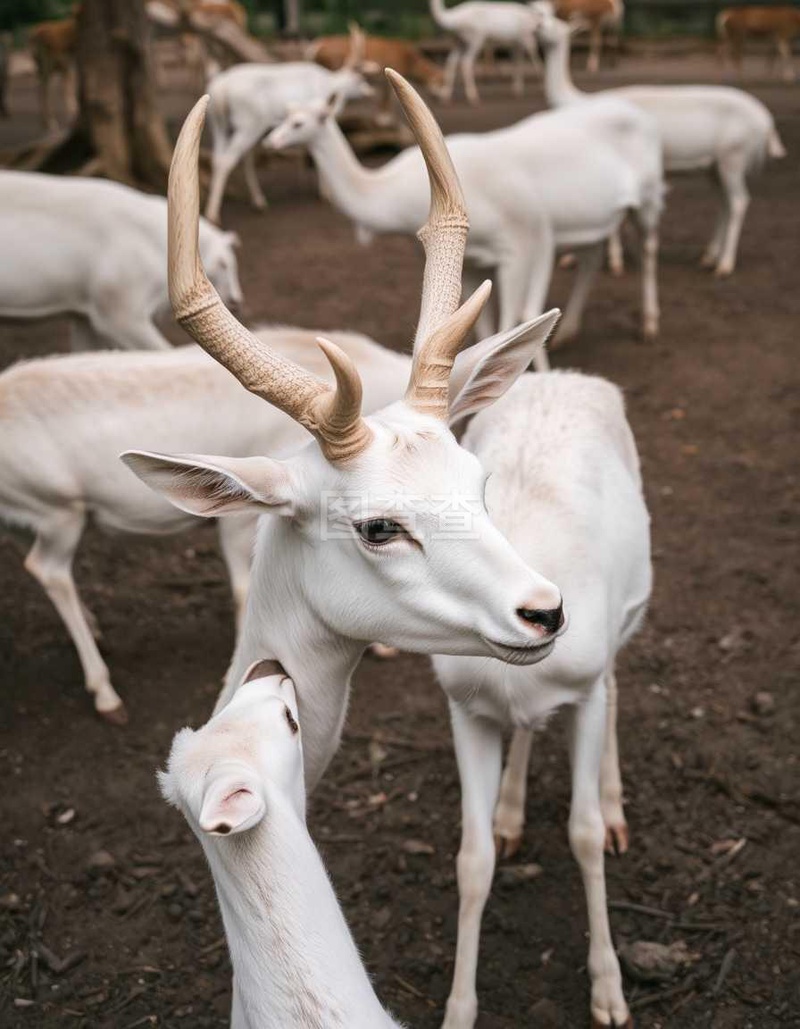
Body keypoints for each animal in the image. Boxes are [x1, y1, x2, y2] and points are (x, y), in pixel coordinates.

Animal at [204, 27, 372, 225]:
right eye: (360, 80)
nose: (371, 91)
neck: (331, 87)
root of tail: (220, 91)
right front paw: (326, 194)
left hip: (218, 124)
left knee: (223, 158)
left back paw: (258, 201)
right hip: (249, 123)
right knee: (227, 161)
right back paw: (213, 214)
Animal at [265, 85, 662, 343]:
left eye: (300, 123)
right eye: (285, 116)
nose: (271, 141)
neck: (391, 196)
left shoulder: (520, 241)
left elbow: (510, 324)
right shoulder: (472, 261)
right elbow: (482, 331)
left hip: (650, 197)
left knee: (647, 248)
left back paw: (648, 325)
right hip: (596, 222)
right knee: (592, 257)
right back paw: (568, 331)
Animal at [533, 2, 786, 276]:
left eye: (556, 26)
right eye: (543, 18)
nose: (536, 26)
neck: (579, 101)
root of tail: (767, 123)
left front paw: (612, 261)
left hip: (734, 156)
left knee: (739, 202)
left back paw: (724, 265)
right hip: (715, 165)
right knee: (724, 203)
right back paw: (708, 256)